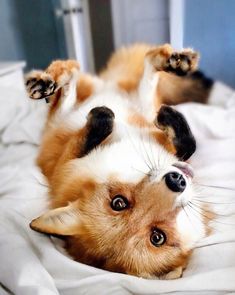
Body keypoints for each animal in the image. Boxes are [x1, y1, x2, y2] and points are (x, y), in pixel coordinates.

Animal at [25, 43, 213, 280]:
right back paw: (50, 81)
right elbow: (81, 139)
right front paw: (100, 120)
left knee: (144, 67)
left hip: (139, 103)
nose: (176, 181)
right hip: (64, 121)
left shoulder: (155, 137)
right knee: (67, 90)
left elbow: (188, 146)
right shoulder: (62, 165)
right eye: (119, 203)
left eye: (157, 237)